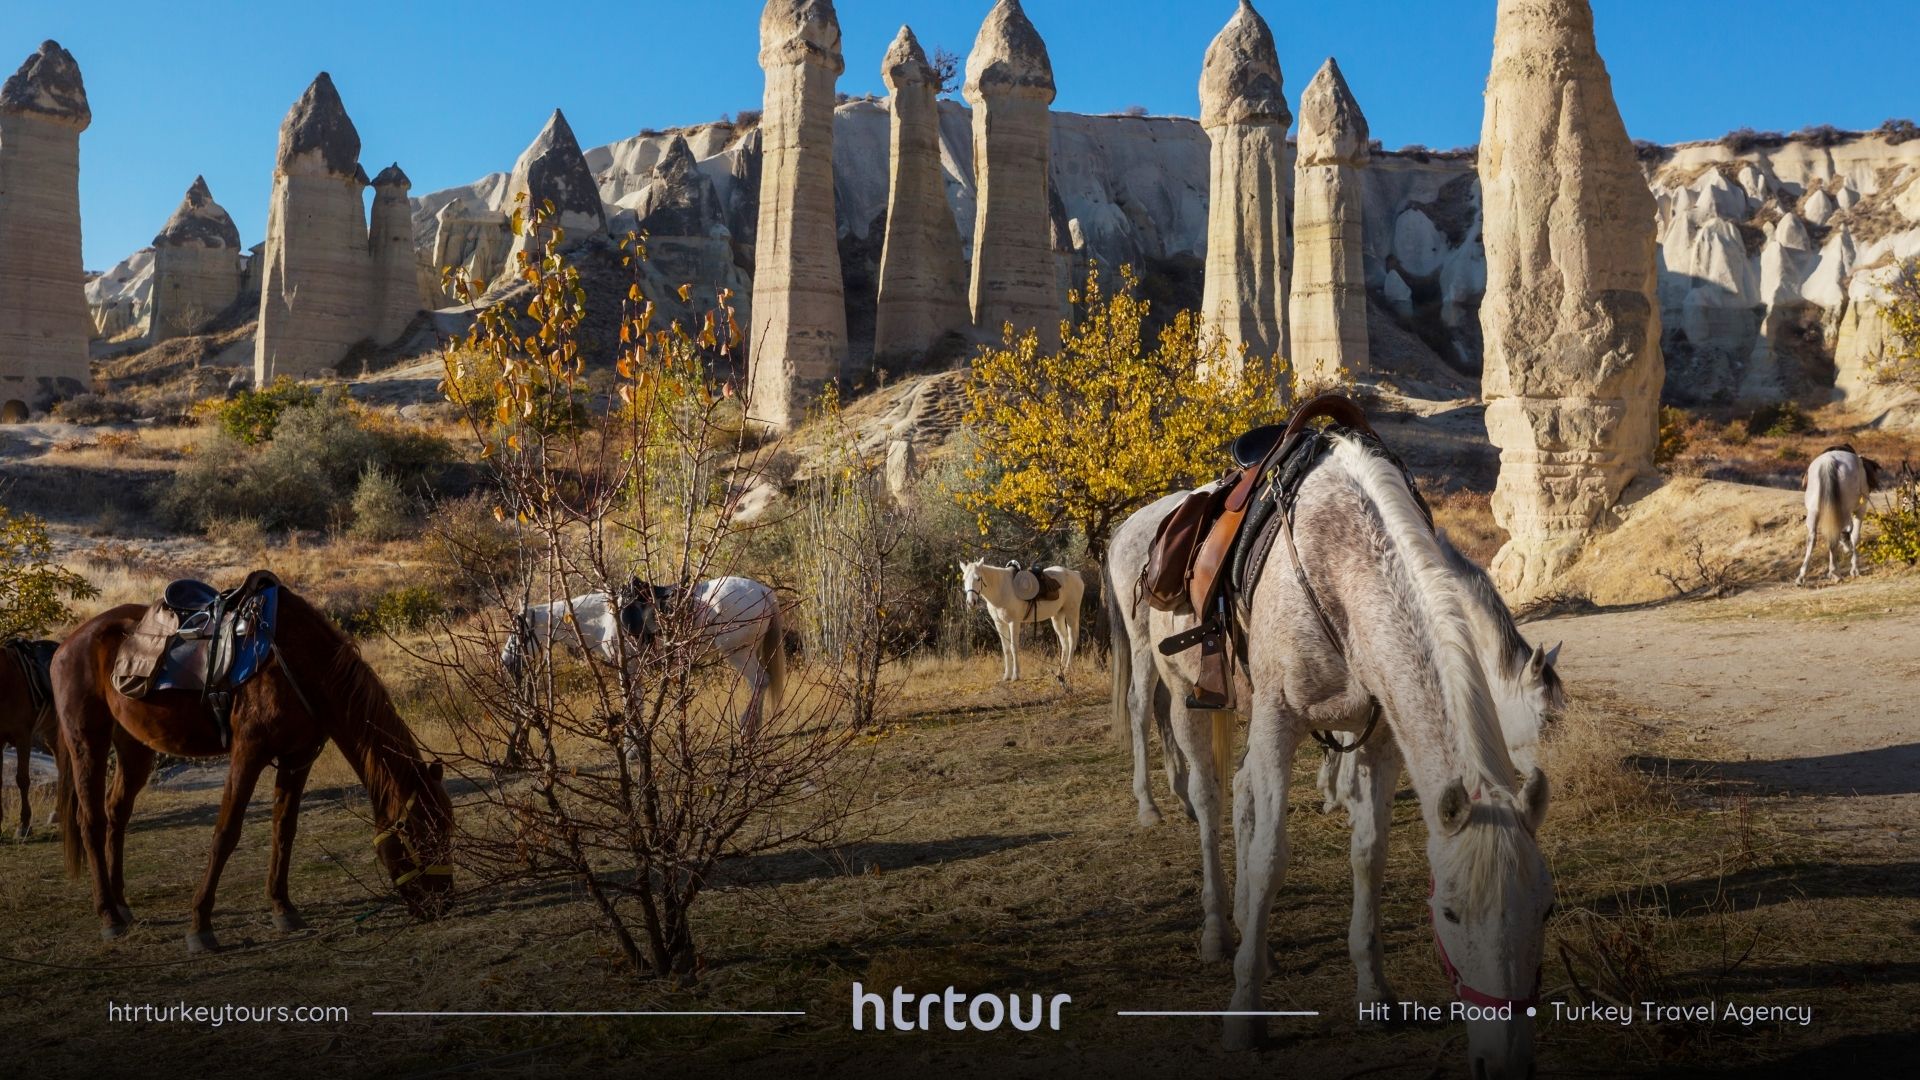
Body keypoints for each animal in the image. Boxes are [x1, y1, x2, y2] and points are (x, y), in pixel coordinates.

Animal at [54, 584, 451, 945]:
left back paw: (121, 905)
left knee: (117, 813)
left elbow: (284, 829)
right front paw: (200, 924)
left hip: (134, 747)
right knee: (91, 821)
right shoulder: (249, 752)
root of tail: (66, 645)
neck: (301, 663)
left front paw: (283, 908)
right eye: (422, 835)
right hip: (87, 742)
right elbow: (226, 833)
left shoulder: (297, 758)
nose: (441, 902)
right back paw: (108, 915)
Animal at [506, 568, 791, 734]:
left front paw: (632, 746)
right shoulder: (633, 670)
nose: (506, 661)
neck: (604, 619)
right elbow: (637, 705)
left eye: (517, 634)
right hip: (749, 651)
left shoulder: (629, 669)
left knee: (760, 681)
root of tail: (763, 590)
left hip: (738, 653)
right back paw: (753, 729)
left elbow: (633, 706)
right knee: (760, 683)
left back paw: (746, 727)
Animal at [1797, 443, 1889, 584]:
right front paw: (1854, 568)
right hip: (1846, 509)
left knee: (1812, 538)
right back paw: (1836, 572)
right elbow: (1854, 536)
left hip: (1814, 511)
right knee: (1842, 532)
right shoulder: (1860, 510)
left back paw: (1803, 575)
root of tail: (1829, 461)